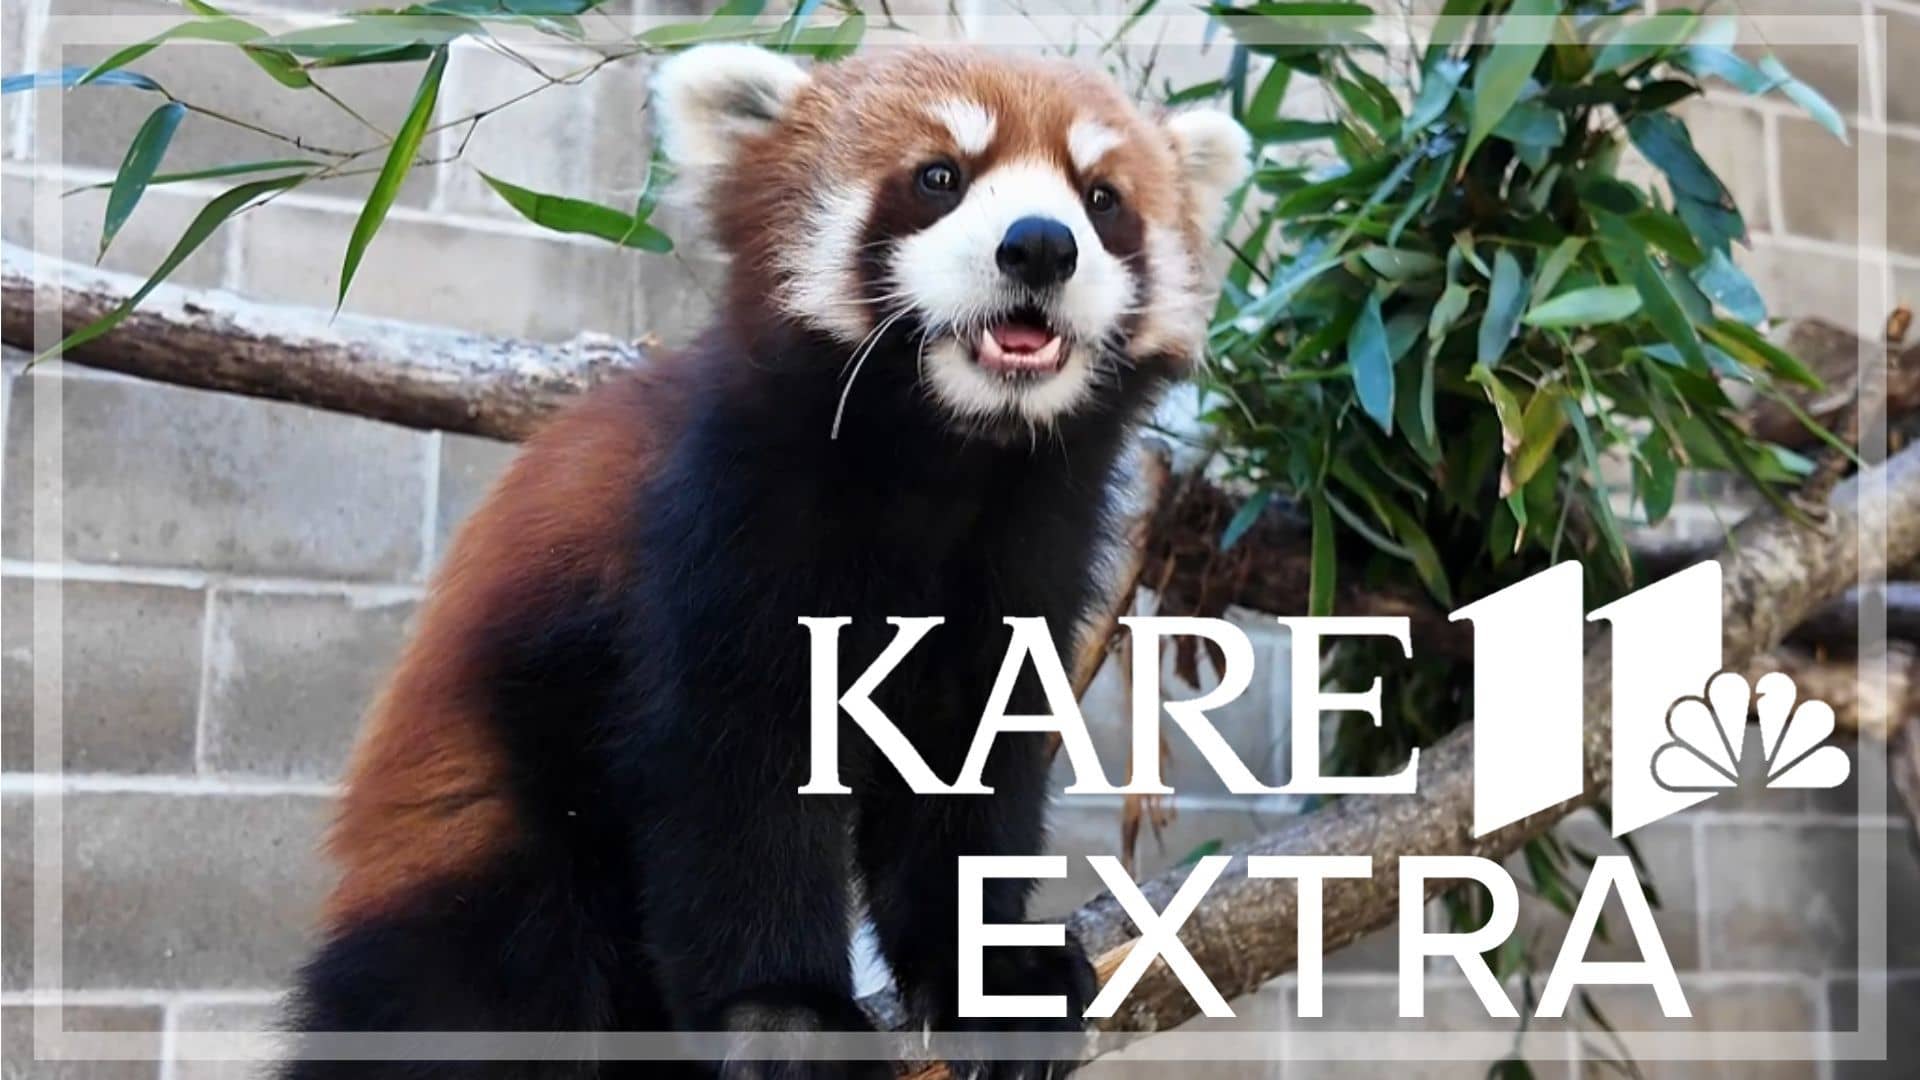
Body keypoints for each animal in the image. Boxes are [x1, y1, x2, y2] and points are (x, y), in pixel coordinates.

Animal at [282, 42, 1250, 1080]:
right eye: (939, 177)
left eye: (1101, 198)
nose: (1040, 244)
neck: (943, 462)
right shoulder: (717, 531)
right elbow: (735, 782)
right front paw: (786, 1015)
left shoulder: (1031, 556)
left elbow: (970, 774)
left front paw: (995, 979)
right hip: (485, 848)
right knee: (480, 989)